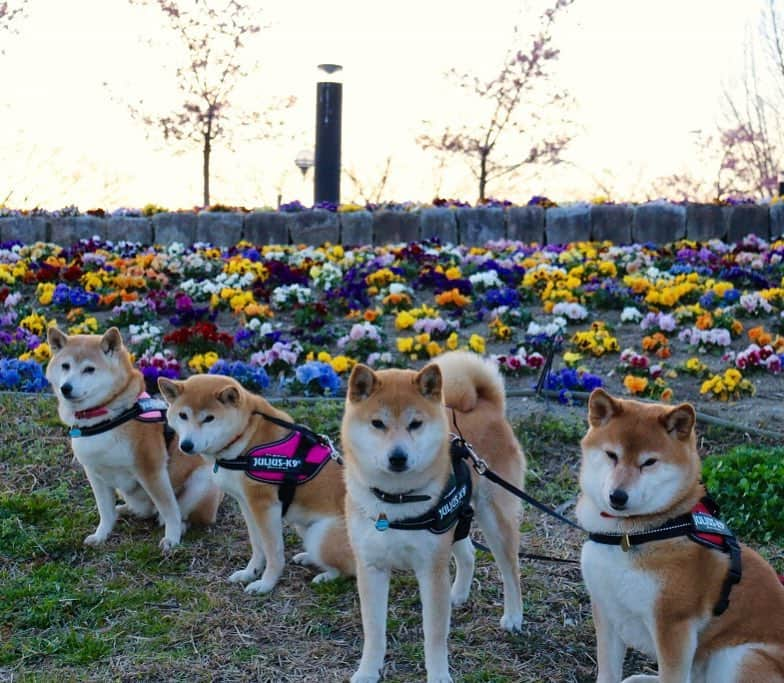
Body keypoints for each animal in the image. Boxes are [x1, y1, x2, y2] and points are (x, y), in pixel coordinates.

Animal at [47, 326, 222, 552]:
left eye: (89, 369)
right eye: (65, 366)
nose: (65, 387)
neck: (104, 418)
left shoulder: (151, 470)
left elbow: (170, 510)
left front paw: (172, 538)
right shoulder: (95, 474)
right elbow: (105, 511)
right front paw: (101, 535)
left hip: (201, 482)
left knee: (180, 512)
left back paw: (181, 525)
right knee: (141, 510)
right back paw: (124, 509)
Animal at [344, 352, 528, 683]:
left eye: (415, 424)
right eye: (378, 423)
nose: (398, 457)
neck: (396, 502)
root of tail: (487, 405)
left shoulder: (431, 570)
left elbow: (434, 634)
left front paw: (439, 675)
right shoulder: (371, 567)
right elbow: (374, 631)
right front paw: (367, 672)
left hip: (495, 520)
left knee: (511, 571)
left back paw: (513, 616)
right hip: (452, 524)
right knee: (468, 554)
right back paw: (458, 593)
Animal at [576, 390, 784, 683]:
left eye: (649, 462)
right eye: (611, 455)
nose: (617, 496)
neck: (631, 536)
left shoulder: (673, 625)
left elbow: (672, 676)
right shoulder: (606, 610)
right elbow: (608, 672)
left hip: (739, 657)